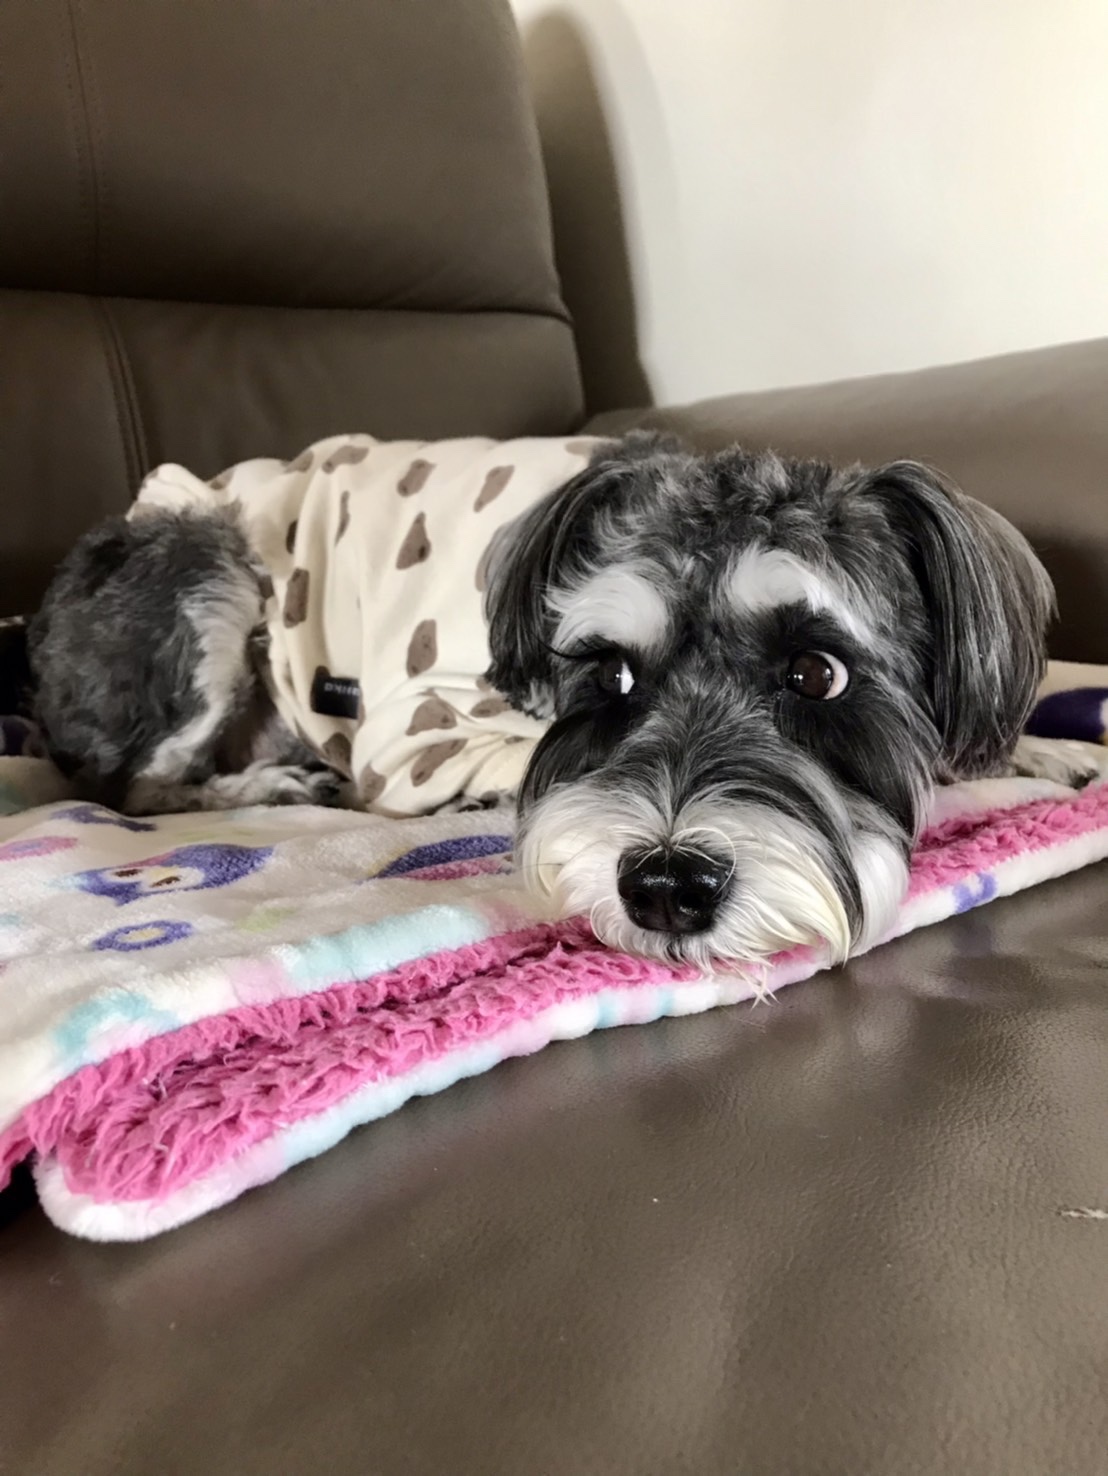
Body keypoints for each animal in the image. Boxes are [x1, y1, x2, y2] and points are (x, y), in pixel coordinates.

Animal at [27, 432, 1098, 968]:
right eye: (612, 677)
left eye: (815, 673)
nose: (666, 888)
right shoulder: (413, 740)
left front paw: (1048, 749)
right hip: (206, 572)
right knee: (138, 784)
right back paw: (277, 784)